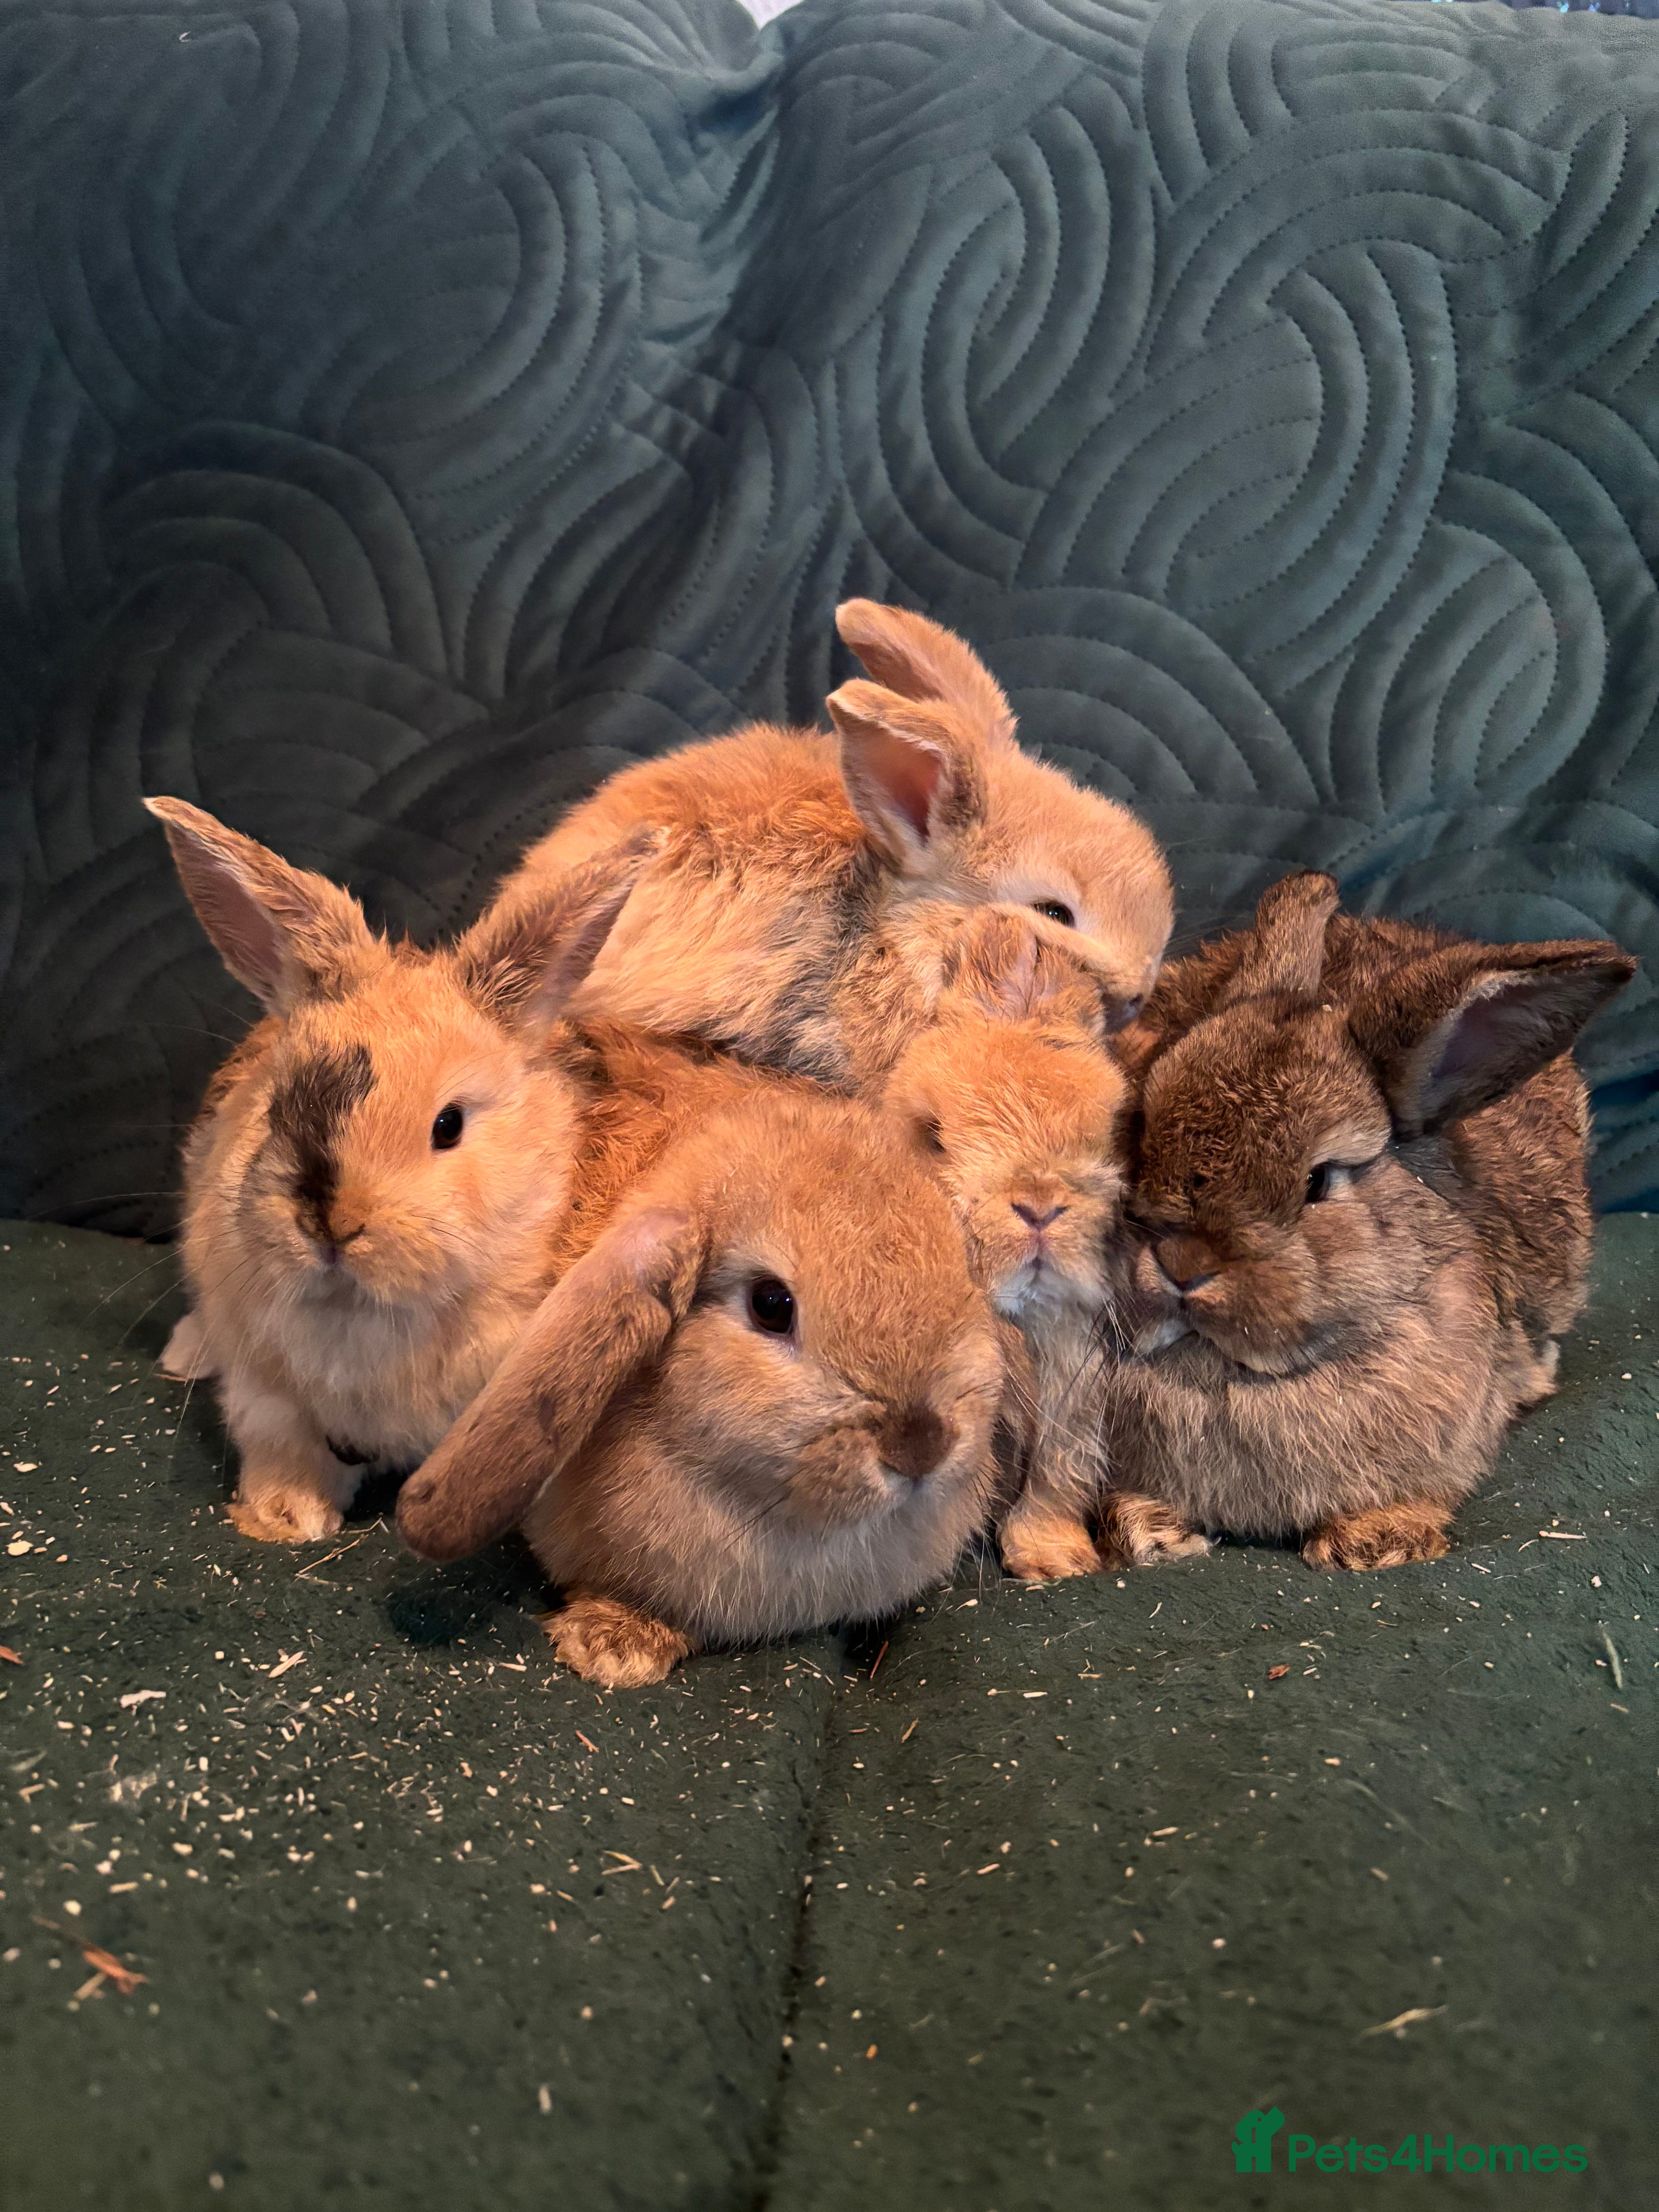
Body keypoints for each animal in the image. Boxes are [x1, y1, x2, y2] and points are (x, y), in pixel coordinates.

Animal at [146, 796, 650, 1543]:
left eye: (449, 1125)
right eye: (277, 1106)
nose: (330, 1225)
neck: (366, 1310)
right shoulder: (267, 1393)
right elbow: (284, 1450)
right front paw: (289, 1518)